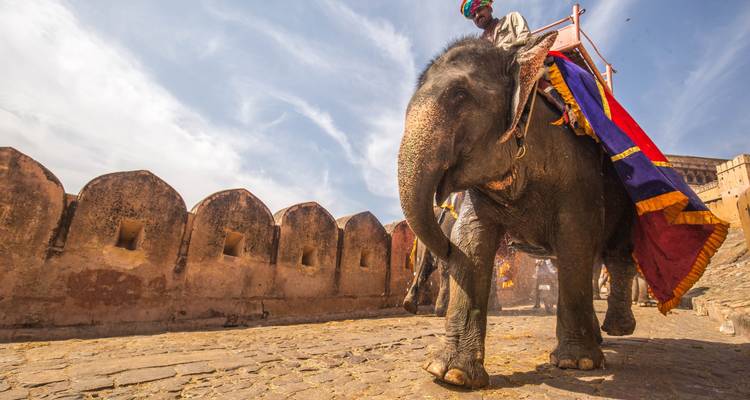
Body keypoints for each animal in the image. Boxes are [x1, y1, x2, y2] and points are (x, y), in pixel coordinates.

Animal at [397, 32, 638, 389]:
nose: (445, 246)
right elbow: (471, 241)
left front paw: (576, 363)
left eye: (459, 95)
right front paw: (451, 374)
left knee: (616, 255)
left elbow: (576, 238)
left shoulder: (578, 172)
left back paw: (617, 330)